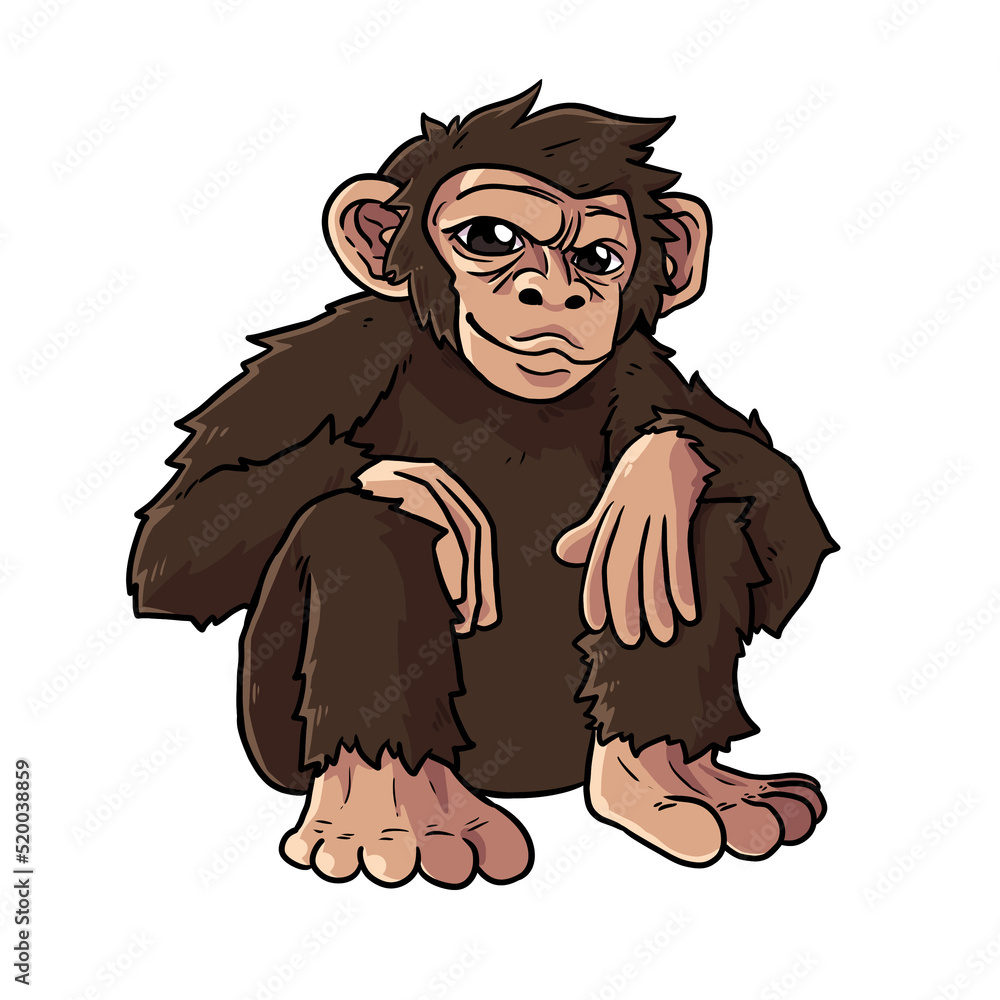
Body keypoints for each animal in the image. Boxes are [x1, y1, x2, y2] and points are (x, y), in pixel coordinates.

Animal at [128, 84, 837, 888]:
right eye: (491, 237)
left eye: (599, 257)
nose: (553, 294)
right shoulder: (329, 355)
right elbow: (181, 541)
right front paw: (417, 485)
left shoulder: (641, 371)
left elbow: (781, 523)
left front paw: (661, 465)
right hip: (282, 740)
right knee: (355, 525)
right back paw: (396, 812)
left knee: (680, 533)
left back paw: (668, 780)